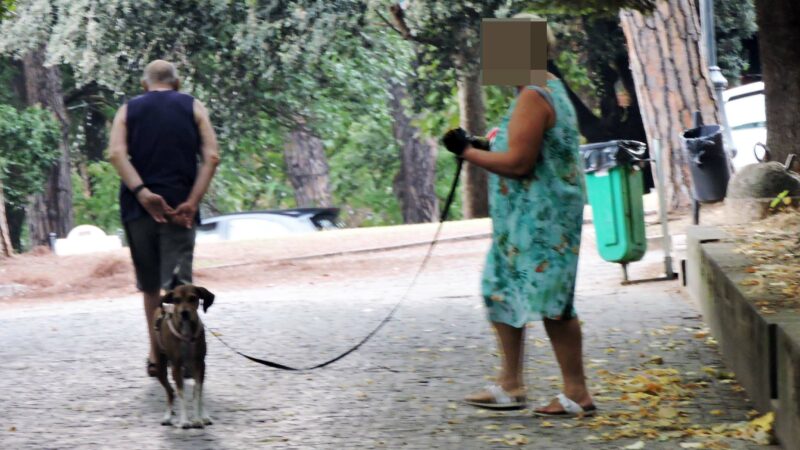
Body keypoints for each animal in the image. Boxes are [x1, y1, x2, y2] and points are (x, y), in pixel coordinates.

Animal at [153, 284, 214, 428]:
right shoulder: (176, 366)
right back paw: (167, 416)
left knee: (198, 392)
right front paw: (185, 421)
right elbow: (181, 394)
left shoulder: (200, 364)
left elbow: (197, 394)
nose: (184, 313)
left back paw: (204, 415)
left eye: (193, 298)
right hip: (160, 369)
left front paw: (197, 419)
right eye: (176, 300)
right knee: (170, 392)